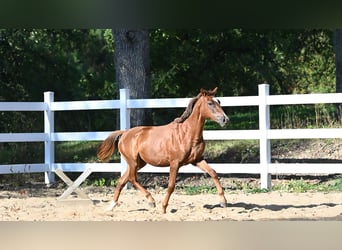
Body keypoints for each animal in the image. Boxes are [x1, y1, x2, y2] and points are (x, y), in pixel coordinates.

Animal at [97, 87, 228, 213]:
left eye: (219, 101)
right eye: (210, 103)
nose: (225, 119)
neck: (187, 134)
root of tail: (124, 133)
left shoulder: (197, 160)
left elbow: (213, 173)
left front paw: (223, 202)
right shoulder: (175, 163)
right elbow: (171, 185)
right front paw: (164, 208)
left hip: (139, 163)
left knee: (122, 180)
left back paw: (111, 206)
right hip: (133, 162)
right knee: (132, 179)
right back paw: (151, 201)